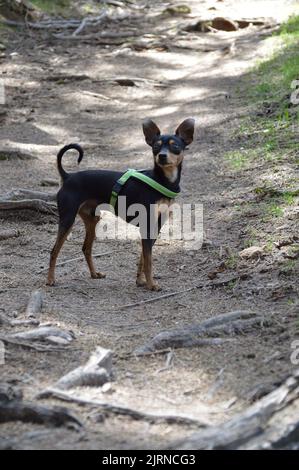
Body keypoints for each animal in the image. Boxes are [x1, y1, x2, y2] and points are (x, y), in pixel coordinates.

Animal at [47, 118, 195, 290]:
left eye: (175, 146)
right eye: (156, 147)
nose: (162, 156)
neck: (162, 181)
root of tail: (68, 176)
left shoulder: (155, 228)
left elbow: (143, 258)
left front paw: (141, 281)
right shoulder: (147, 227)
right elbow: (148, 261)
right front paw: (151, 284)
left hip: (92, 219)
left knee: (86, 248)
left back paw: (94, 274)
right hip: (68, 219)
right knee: (54, 251)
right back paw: (50, 279)